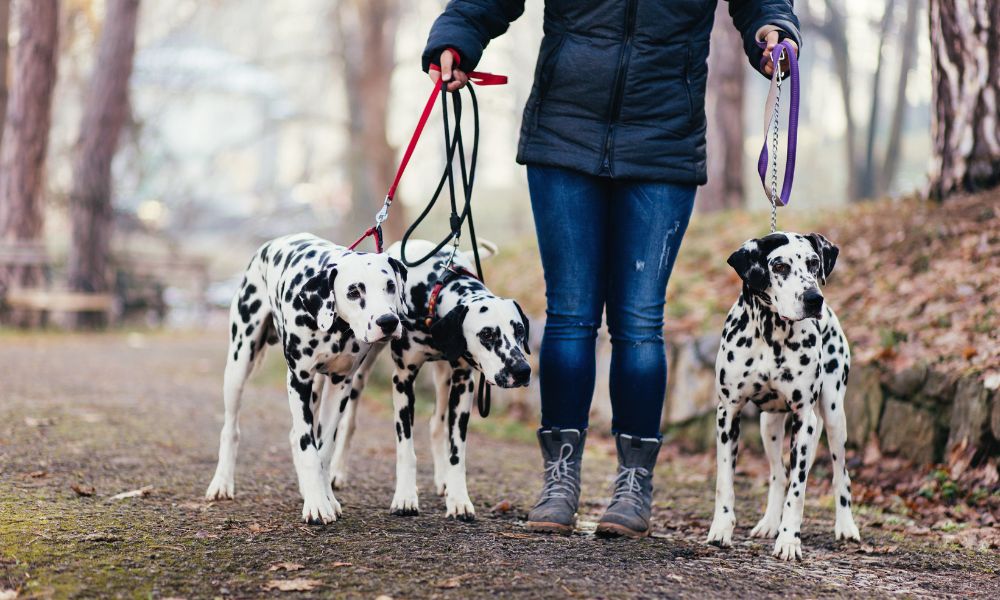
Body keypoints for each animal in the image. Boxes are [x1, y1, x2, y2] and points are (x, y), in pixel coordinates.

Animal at [205, 232, 408, 524]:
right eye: (354, 291)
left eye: (390, 285)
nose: (388, 322)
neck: (335, 328)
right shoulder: (298, 380)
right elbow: (308, 447)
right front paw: (317, 505)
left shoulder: (340, 384)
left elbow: (324, 448)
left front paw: (324, 497)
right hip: (238, 364)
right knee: (230, 429)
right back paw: (221, 483)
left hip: (316, 388)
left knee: (296, 435)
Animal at [324, 239, 536, 520]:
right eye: (487, 334)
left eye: (519, 330)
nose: (522, 371)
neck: (432, 294)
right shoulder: (403, 380)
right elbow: (406, 449)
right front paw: (405, 497)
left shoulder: (463, 384)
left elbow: (457, 450)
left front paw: (458, 499)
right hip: (362, 369)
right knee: (349, 421)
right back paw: (337, 471)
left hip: (445, 379)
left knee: (437, 423)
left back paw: (444, 480)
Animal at [708, 232, 864, 560]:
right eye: (779, 266)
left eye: (814, 262)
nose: (814, 299)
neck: (771, 333)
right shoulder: (728, 414)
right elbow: (725, 481)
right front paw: (721, 529)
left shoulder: (805, 420)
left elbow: (798, 488)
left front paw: (789, 540)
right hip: (769, 426)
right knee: (778, 475)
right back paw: (769, 523)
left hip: (834, 417)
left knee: (840, 474)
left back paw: (846, 527)